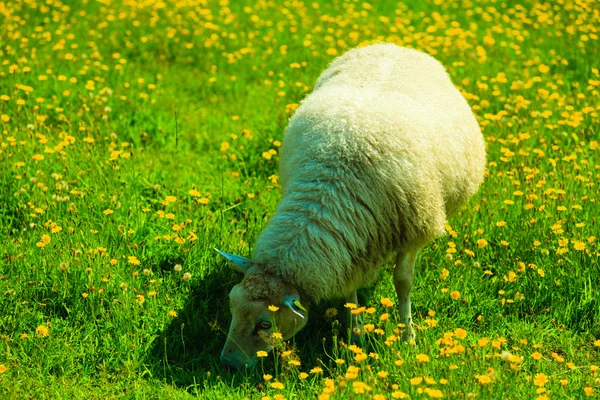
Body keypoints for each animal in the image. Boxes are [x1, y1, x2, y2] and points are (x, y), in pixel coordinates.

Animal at [217, 43, 488, 368]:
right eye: (231, 305)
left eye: (265, 323)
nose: (227, 363)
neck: (330, 188)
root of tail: (392, 44)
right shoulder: (349, 245)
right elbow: (349, 290)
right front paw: (356, 336)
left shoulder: (413, 229)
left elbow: (403, 282)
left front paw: (407, 335)